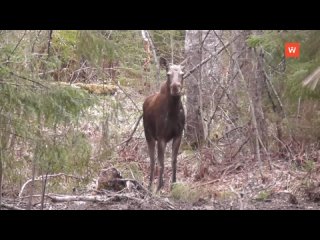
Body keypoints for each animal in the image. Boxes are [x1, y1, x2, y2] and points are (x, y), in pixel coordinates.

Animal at [142, 57, 185, 192]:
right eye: (168, 74)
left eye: (182, 74)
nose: (175, 87)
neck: (173, 111)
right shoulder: (161, 137)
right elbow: (161, 163)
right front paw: (158, 187)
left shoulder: (178, 135)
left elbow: (173, 160)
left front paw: (173, 184)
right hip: (148, 135)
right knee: (152, 160)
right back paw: (150, 185)